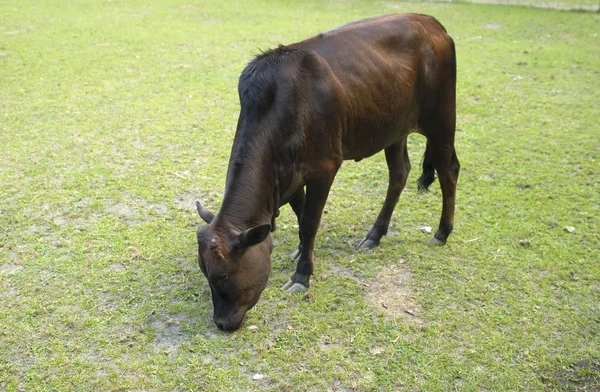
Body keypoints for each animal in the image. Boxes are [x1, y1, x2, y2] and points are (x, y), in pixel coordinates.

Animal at [196, 13, 460, 330]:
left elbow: (310, 222)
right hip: (393, 128)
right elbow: (300, 216)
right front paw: (301, 250)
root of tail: (433, 23)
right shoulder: (290, 176)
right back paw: (375, 235)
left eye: (223, 276)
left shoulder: (324, 168)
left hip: (442, 119)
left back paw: (442, 232)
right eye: (204, 272)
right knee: (399, 174)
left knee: (449, 170)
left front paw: (302, 275)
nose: (221, 322)